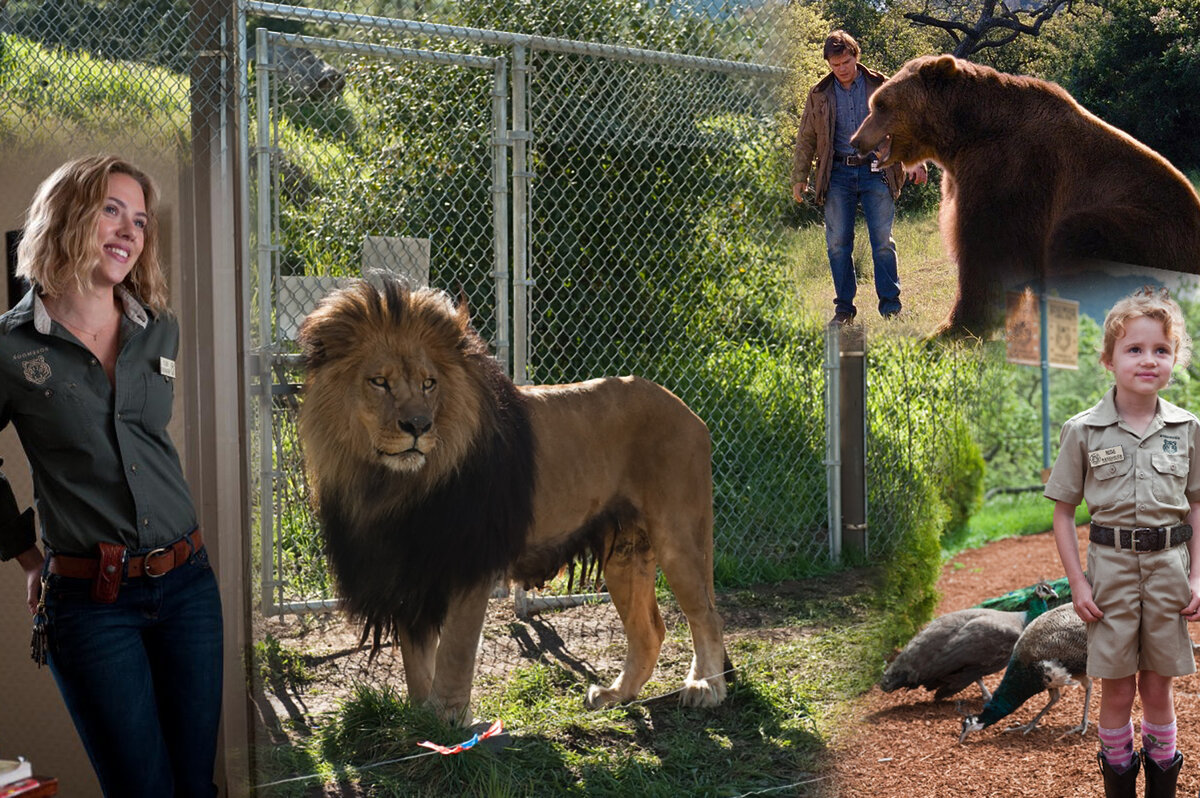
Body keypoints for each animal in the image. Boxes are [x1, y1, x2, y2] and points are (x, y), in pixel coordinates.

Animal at [297, 273, 729, 720]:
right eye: (379, 382)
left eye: (429, 383)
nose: (418, 426)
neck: (391, 486)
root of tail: (687, 410)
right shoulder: (409, 567)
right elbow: (417, 661)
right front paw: (421, 719)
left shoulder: (468, 561)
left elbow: (455, 651)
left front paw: (448, 719)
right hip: (625, 550)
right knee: (650, 631)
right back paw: (616, 695)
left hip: (678, 536)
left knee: (706, 616)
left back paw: (705, 687)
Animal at [849, 52, 1200, 333]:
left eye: (880, 104)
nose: (855, 140)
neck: (964, 133)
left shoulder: (1012, 173)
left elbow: (988, 248)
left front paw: (955, 327)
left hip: (1149, 232)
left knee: (1077, 235)